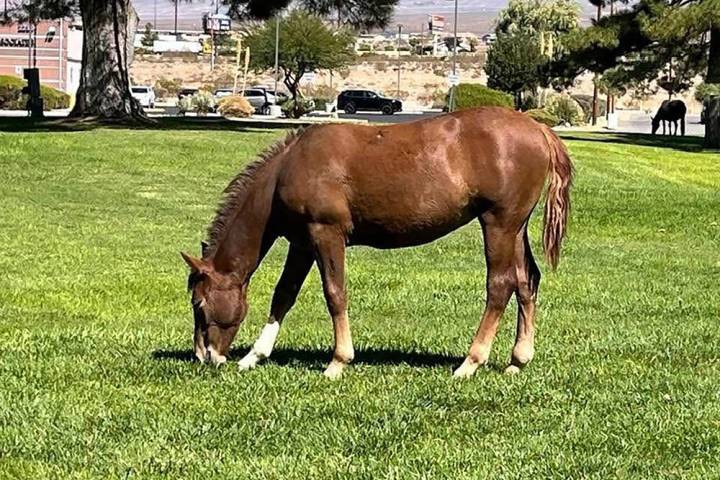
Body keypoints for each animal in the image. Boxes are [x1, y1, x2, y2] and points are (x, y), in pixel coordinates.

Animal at [181, 107, 573, 379]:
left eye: (199, 304)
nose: (204, 357)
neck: (287, 169)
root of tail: (538, 129)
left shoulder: (326, 234)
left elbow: (334, 294)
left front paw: (338, 362)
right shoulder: (302, 243)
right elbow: (284, 294)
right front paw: (254, 356)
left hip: (498, 223)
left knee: (501, 285)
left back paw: (470, 362)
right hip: (515, 227)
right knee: (527, 281)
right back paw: (518, 360)